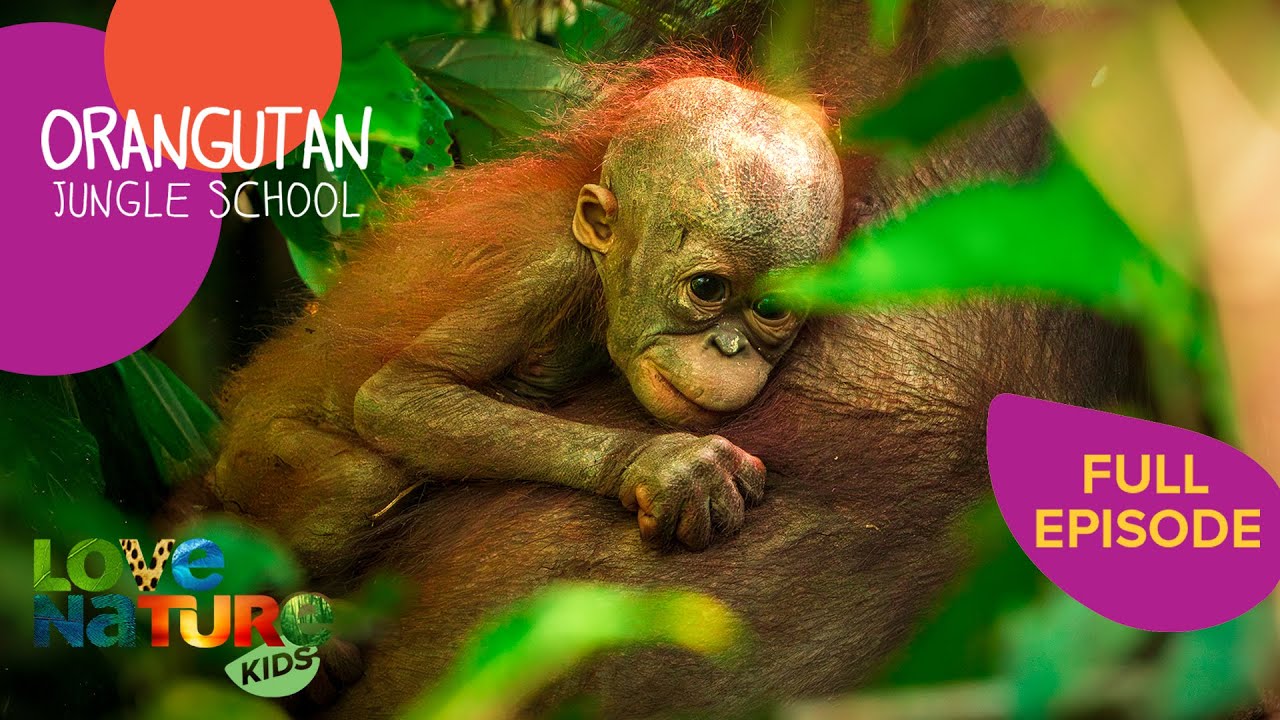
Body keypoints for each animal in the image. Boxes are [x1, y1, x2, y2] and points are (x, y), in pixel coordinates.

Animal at [211, 57, 846, 581]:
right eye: (707, 288)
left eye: (770, 308)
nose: (729, 348)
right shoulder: (543, 273)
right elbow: (398, 396)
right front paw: (662, 464)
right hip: (256, 458)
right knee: (357, 482)